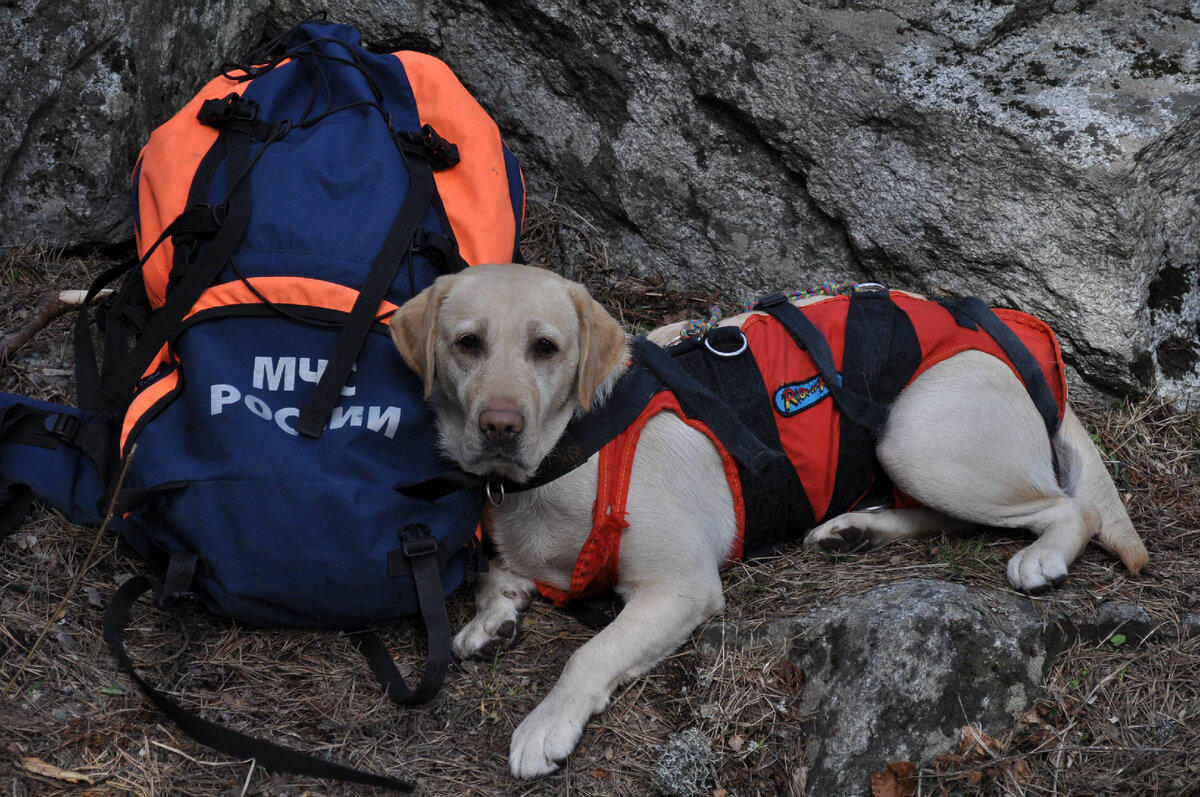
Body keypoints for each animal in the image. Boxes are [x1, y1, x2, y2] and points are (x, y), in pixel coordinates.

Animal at [388, 261, 1147, 777]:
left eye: (546, 347)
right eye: (466, 343)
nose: (500, 425)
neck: (568, 453)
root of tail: (1021, 346)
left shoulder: (681, 588)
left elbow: (589, 652)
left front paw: (547, 723)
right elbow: (496, 575)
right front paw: (491, 618)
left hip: (917, 438)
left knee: (1067, 504)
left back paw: (1042, 555)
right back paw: (854, 529)